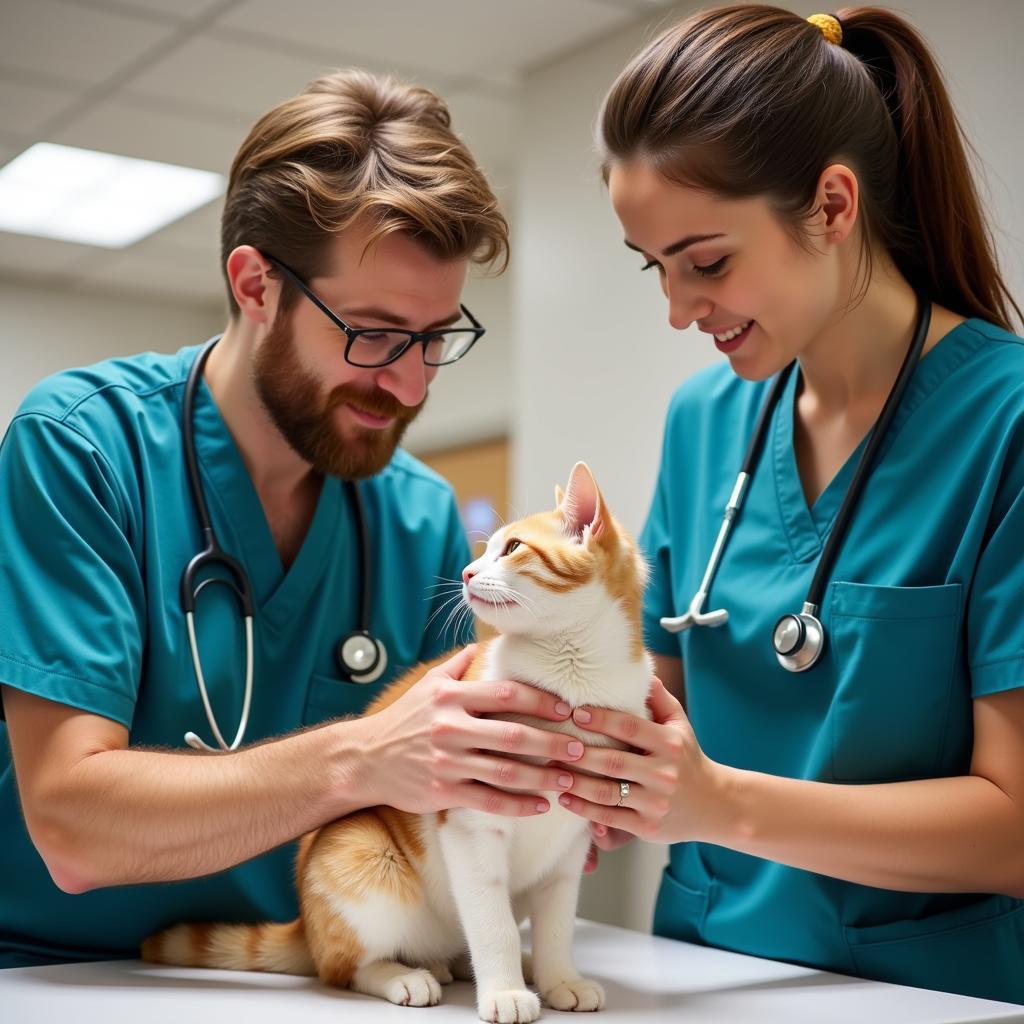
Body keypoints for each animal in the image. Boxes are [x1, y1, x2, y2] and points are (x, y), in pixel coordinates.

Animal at [141, 464, 651, 1024]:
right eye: (487, 549)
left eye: (513, 547)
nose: (467, 573)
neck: (574, 677)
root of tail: (306, 927)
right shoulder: (471, 828)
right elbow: (492, 925)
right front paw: (503, 991)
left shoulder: (570, 849)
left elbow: (558, 925)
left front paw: (561, 977)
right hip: (363, 861)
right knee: (342, 969)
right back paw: (405, 976)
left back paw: (517, 964)